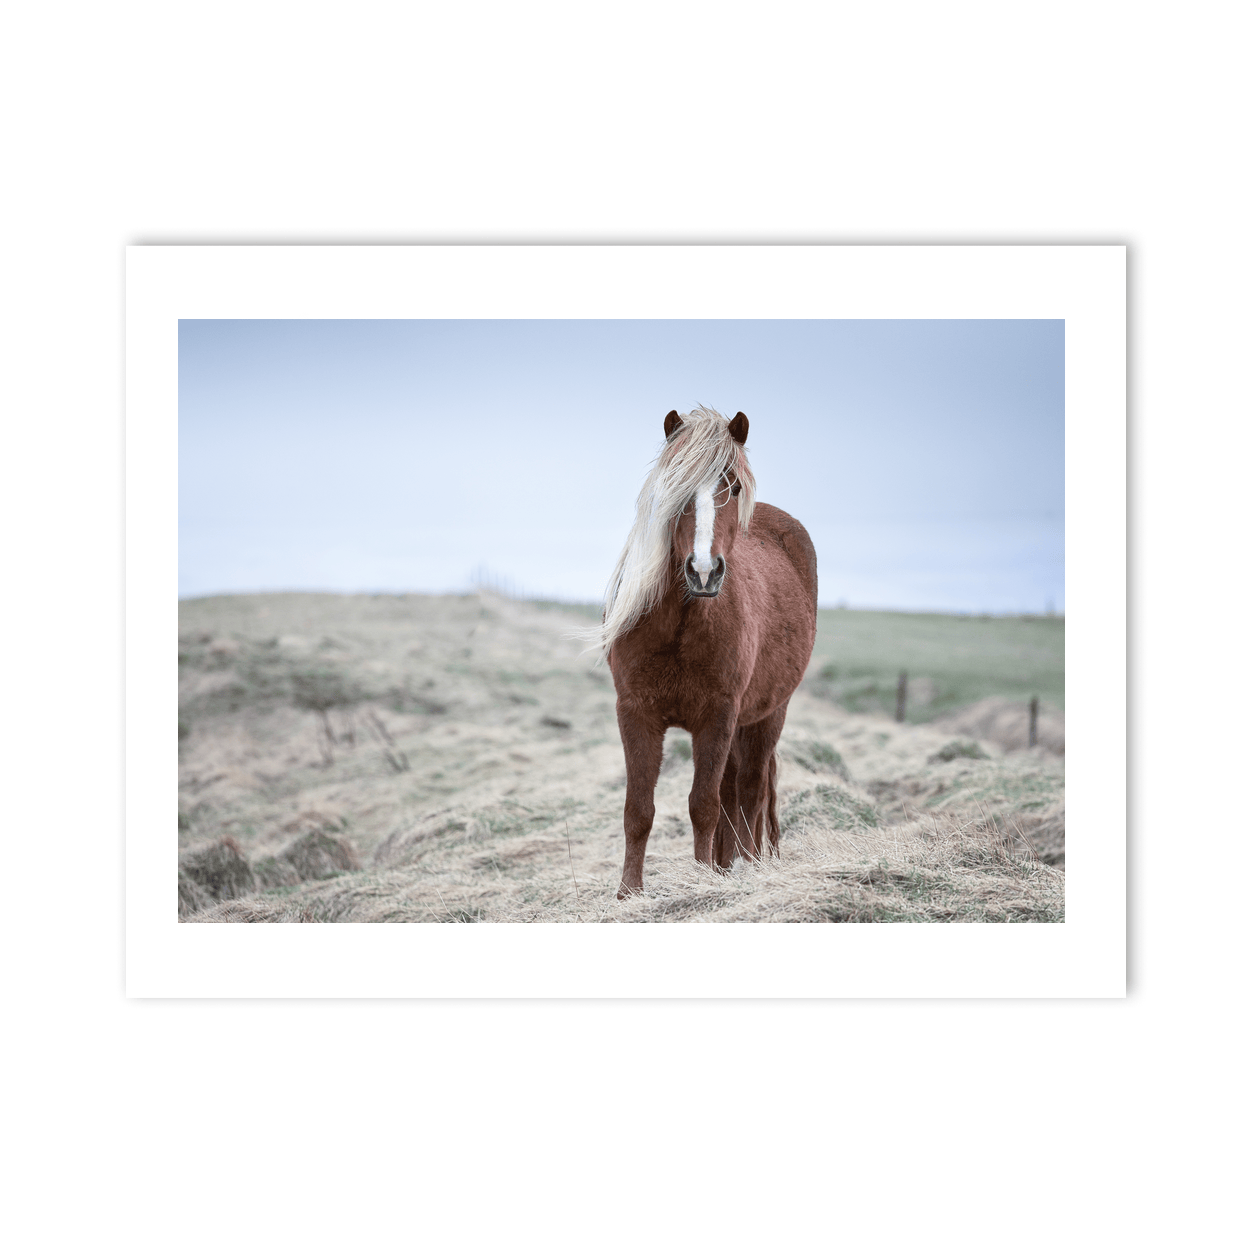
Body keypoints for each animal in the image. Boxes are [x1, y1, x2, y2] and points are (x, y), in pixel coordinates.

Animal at [594, 406, 818, 898]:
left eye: (732, 487)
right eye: (674, 488)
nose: (703, 571)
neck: (680, 624)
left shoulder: (717, 715)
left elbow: (703, 805)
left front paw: (699, 883)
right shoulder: (636, 712)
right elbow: (638, 809)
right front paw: (628, 893)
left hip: (767, 714)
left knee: (751, 789)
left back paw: (748, 865)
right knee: (733, 789)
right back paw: (726, 865)